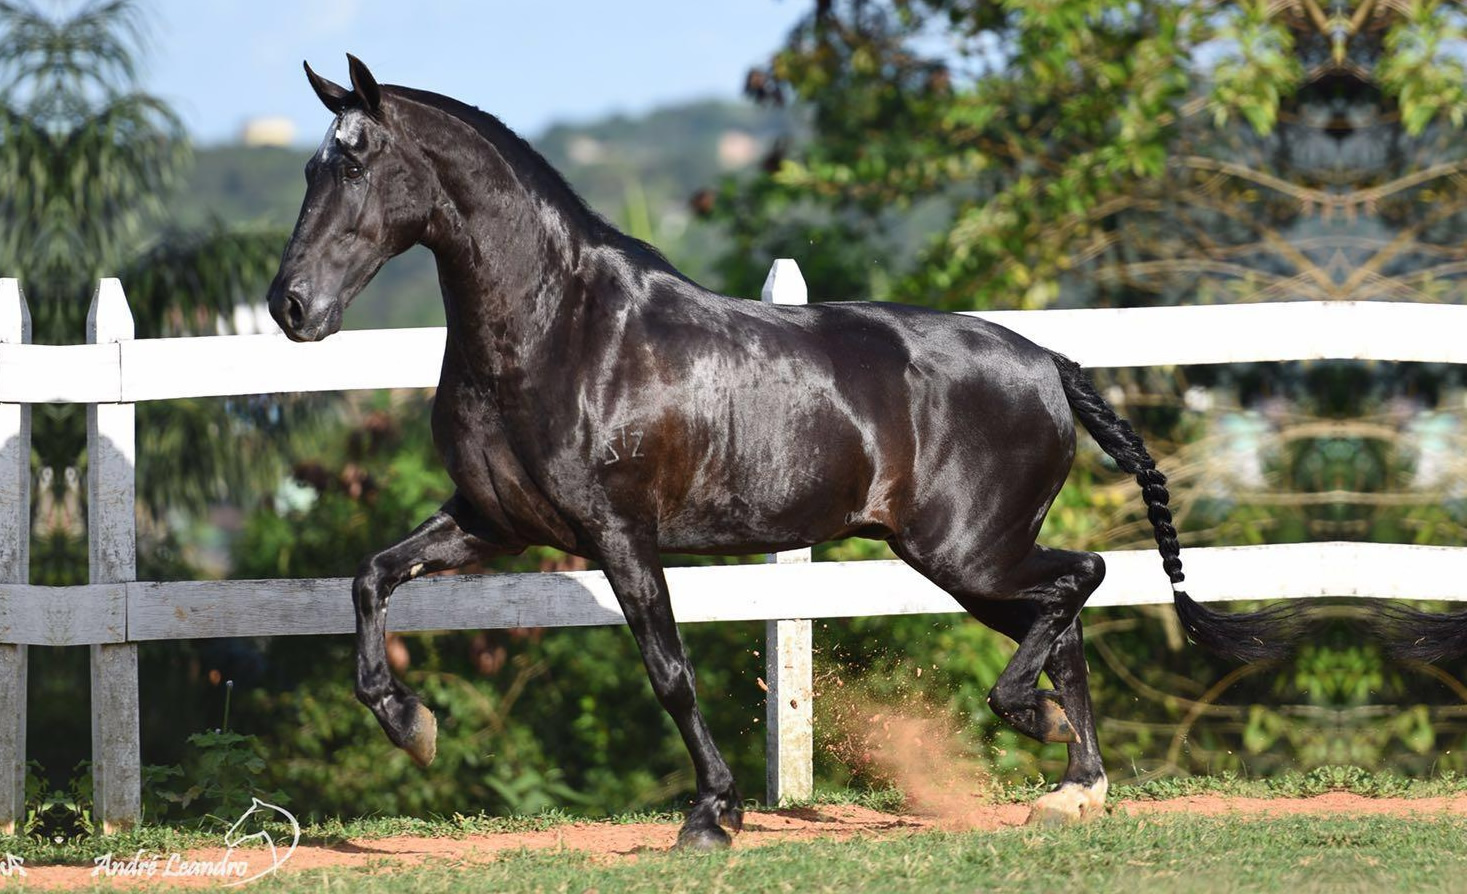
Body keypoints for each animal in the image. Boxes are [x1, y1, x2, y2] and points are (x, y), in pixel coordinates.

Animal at [266, 57, 1308, 851]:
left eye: (355, 166)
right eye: (309, 171)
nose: (290, 307)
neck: (560, 330)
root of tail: (1050, 363)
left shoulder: (619, 533)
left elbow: (669, 672)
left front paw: (711, 818)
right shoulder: (493, 522)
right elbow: (370, 578)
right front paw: (411, 726)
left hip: (968, 550)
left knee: (1081, 580)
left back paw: (1040, 732)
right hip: (968, 562)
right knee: (1065, 619)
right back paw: (1070, 788)